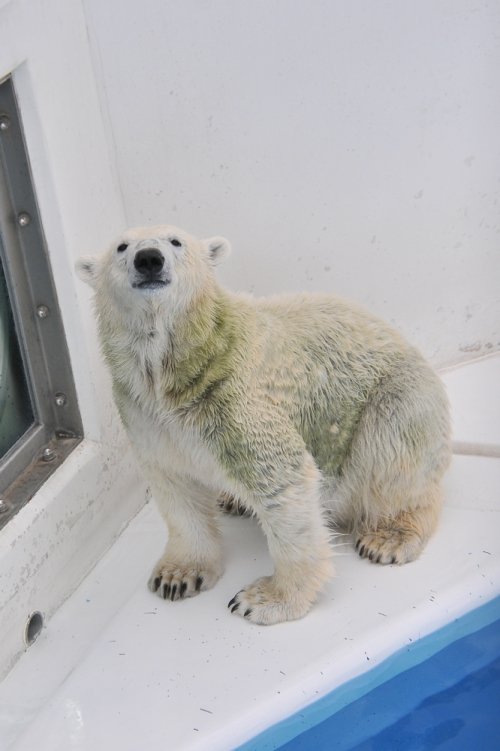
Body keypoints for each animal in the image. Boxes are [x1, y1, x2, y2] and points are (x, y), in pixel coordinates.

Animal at [76, 226, 452, 624]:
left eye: (176, 241)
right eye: (122, 247)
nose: (149, 258)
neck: (182, 369)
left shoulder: (236, 398)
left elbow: (284, 482)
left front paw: (264, 600)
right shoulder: (146, 414)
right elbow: (176, 486)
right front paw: (177, 576)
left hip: (399, 395)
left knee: (393, 453)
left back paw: (389, 536)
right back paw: (233, 501)